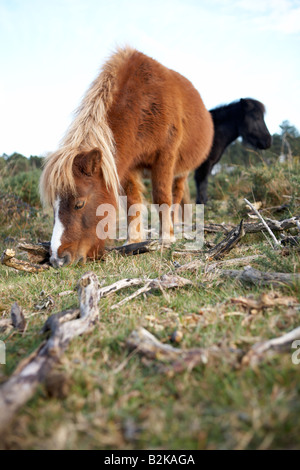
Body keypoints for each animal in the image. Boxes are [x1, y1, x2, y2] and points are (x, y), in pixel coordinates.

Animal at [40, 48, 213, 268]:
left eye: (79, 204)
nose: (57, 259)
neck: (144, 101)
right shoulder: (128, 167)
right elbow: (132, 202)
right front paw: (134, 240)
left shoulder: (165, 155)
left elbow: (162, 196)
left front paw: (166, 237)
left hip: (181, 171)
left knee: (177, 194)